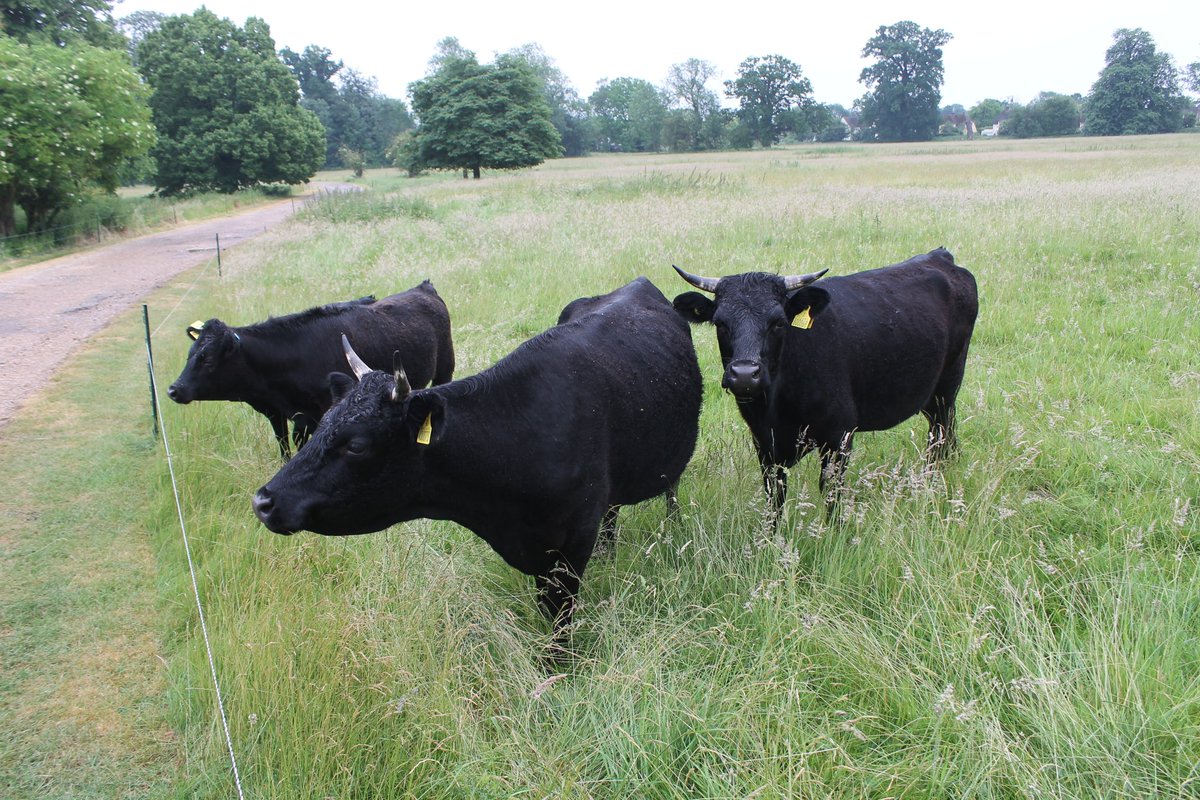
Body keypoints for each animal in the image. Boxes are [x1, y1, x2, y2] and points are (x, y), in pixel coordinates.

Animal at [168, 280, 455, 459]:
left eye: (207, 359)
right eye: (190, 355)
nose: (174, 389)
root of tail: (424, 287)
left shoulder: (309, 418)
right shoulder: (277, 414)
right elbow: (284, 446)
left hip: (445, 369)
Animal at [252, 277, 703, 646]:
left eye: (358, 445)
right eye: (323, 422)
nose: (263, 501)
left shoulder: (573, 541)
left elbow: (560, 616)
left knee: (670, 491)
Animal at [672, 247, 978, 519]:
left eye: (778, 322)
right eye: (720, 323)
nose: (745, 374)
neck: (775, 406)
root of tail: (941, 256)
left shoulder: (839, 436)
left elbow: (831, 491)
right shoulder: (764, 443)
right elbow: (775, 495)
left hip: (947, 389)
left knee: (941, 437)